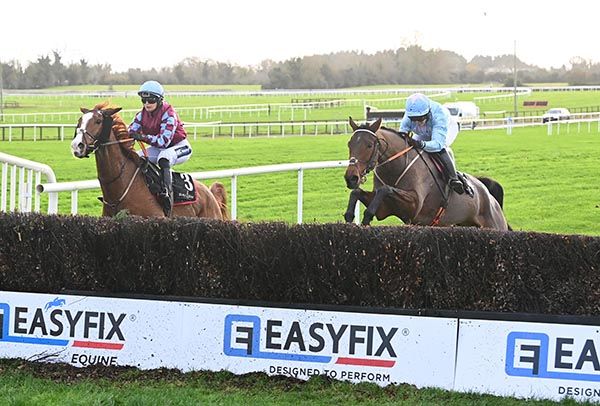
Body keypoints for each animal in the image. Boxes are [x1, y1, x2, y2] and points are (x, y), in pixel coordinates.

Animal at [344, 117, 508, 232]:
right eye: (349, 144)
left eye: (369, 145)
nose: (351, 178)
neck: (397, 167)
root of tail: (489, 196)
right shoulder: (385, 208)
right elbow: (357, 192)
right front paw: (349, 216)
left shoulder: (414, 206)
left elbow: (386, 189)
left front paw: (367, 215)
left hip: (494, 225)